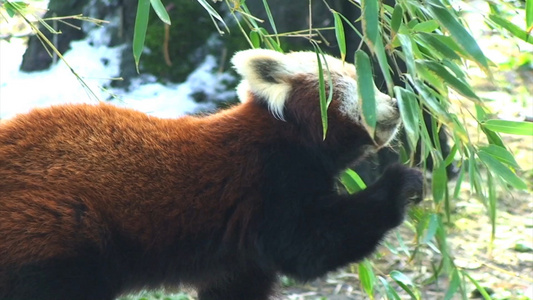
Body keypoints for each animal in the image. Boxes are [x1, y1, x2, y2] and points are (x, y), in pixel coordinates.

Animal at [2, 49, 422, 300]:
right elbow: (310, 245)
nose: (397, 103)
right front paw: (402, 183)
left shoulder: (238, 254)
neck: (290, 135)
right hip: (55, 234)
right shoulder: (268, 183)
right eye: (362, 85)